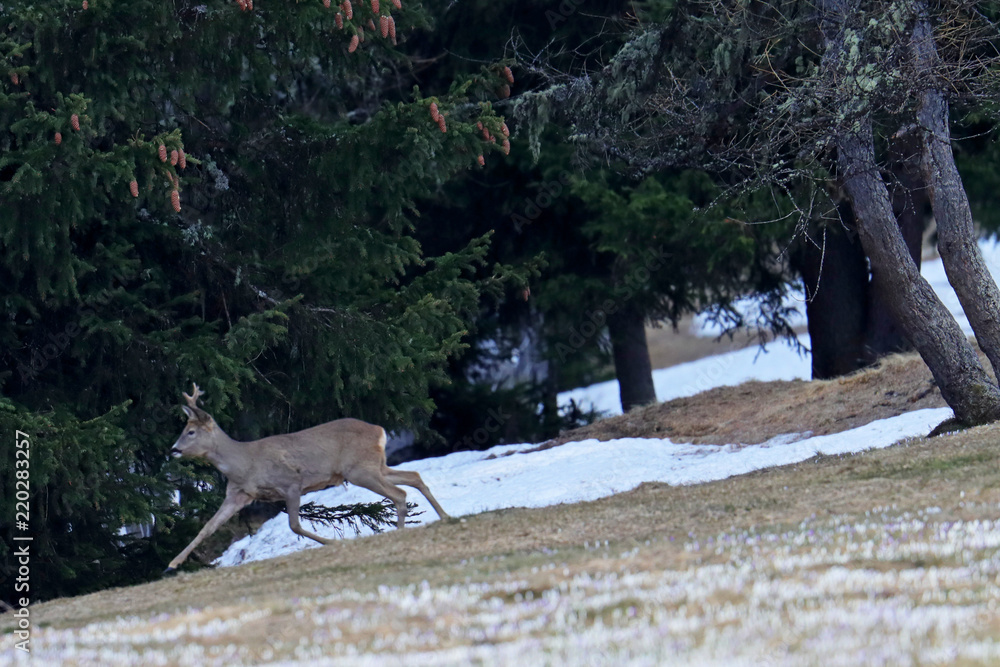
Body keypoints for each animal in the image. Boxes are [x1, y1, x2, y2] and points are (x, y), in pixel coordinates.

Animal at [163, 383, 450, 574]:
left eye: (190, 432)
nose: (173, 449)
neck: (243, 464)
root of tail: (380, 430)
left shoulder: (291, 483)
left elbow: (294, 525)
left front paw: (334, 542)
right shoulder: (238, 495)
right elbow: (207, 527)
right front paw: (172, 564)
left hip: (360, 470)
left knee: (399, 493)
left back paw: (400, 532)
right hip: (375, 466)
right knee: (414, 476)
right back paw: (444, 517)